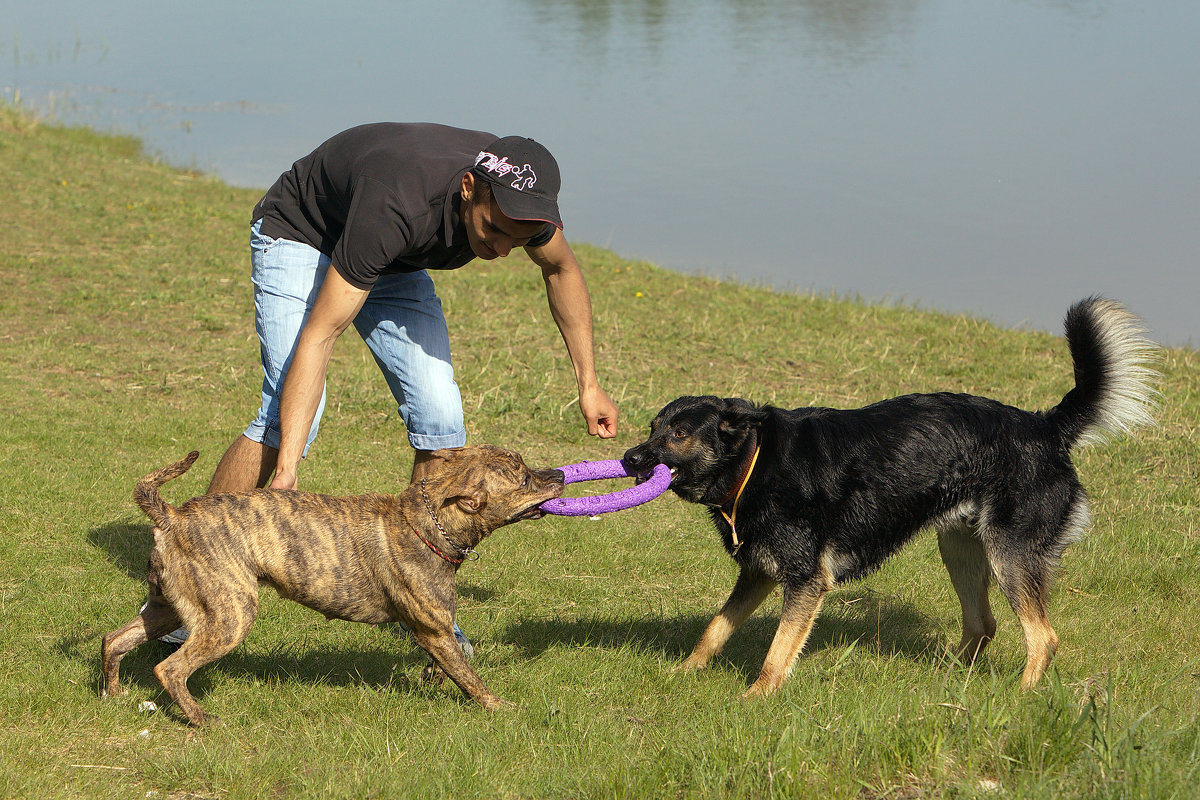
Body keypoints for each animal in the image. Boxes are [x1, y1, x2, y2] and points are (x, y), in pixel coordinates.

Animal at [102, 443, 561, 724]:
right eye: (523, 479)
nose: (557, 472)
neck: (430, 522)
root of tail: (171, 517)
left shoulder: (434, 632)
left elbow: (446, 667)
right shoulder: (433, 630)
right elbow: (470, 678)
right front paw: (501, 707)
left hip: (169, 607)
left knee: (115, 640)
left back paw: (112, 694)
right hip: (229, 616)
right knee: (170, 668)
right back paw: (200, 719)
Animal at [624, 297, 1156, 695]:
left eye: (678, 434)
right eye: (652, 427)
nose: (629, 459)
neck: (754, 462)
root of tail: (1046, 427)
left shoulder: (805, 580)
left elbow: (777, 651)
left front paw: (756, 697)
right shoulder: (758, 573)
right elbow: (714, 628)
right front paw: (682, 673)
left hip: (1011, 557)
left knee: (1042, 638)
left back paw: (1019, 698)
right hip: (960, 549)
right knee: (983, 624)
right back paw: (946, 681)